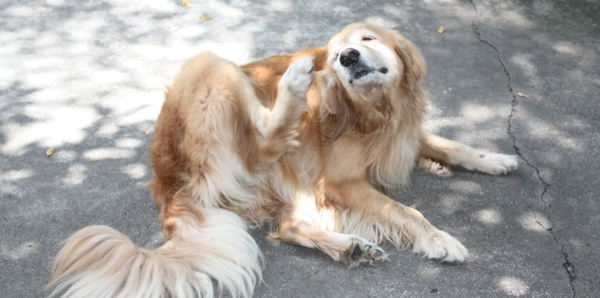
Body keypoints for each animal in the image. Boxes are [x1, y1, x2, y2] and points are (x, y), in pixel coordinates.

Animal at [48, 23, 516, 298]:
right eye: (338, 55)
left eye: (367, 39)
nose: (345, 58)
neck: (375, 110)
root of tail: (164, 180)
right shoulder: (342, 182)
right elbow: (406, 211)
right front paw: (439, 239)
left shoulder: (404, 136)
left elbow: (452, 145)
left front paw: (494, 158)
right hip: (211, 69)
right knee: (264, 141)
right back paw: (292, 84)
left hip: (286, 180)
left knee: (289, 227)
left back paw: (349, 247)